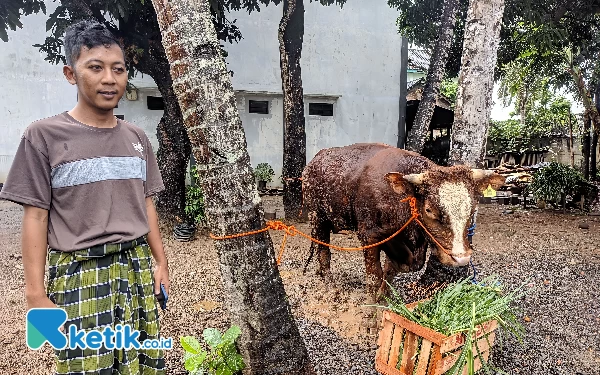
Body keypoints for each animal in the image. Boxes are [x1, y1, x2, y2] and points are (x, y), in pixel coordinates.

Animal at [302, 144, 504, 306]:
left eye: (473, 209)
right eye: (429, 210)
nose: (461, 258)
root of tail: (315, 160)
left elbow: (393, 270)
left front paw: (383, 298)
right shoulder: (368, 235)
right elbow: (374, 277)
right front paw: (371, 313)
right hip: (317, 217)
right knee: (323, 252)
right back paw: (330, 287)